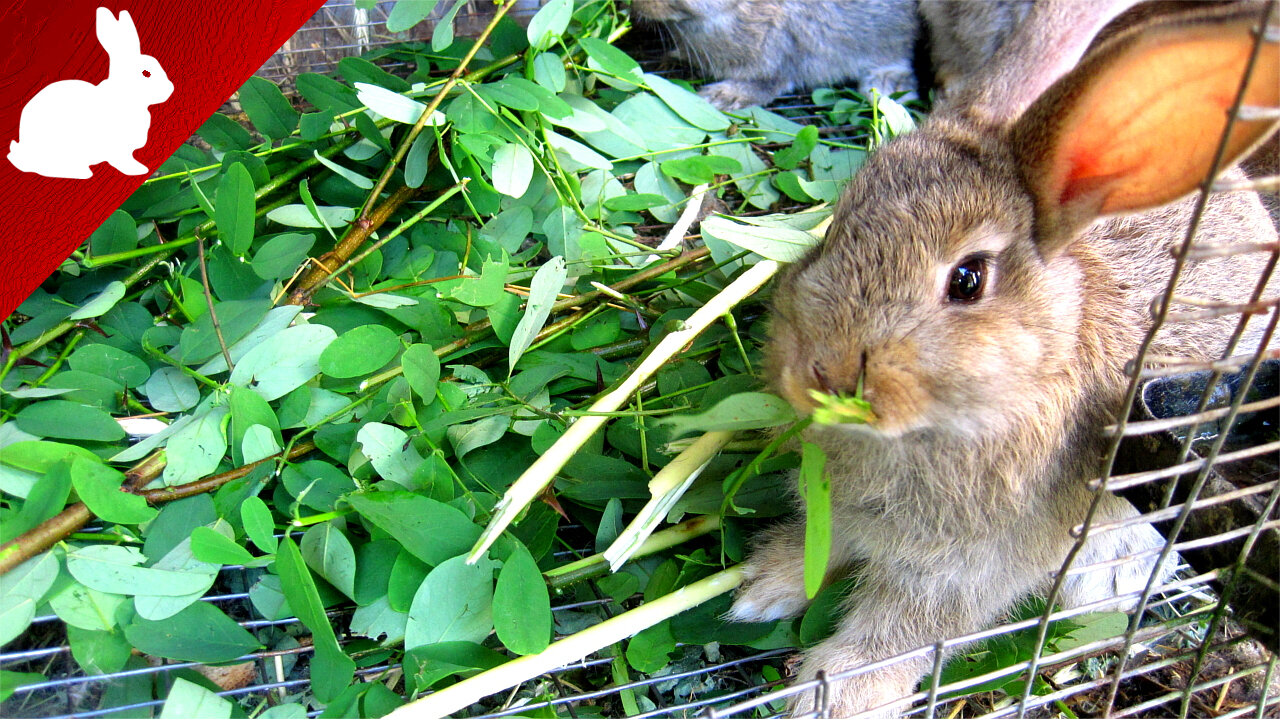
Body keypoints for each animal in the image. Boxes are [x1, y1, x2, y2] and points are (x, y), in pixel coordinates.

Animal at [732, 2, 1280, 712]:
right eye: (836, 231)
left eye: (967, 280)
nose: (821, 375)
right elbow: (822, 547)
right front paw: (763, 585)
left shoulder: (965, 573)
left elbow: (899, 634)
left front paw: (837, 696)